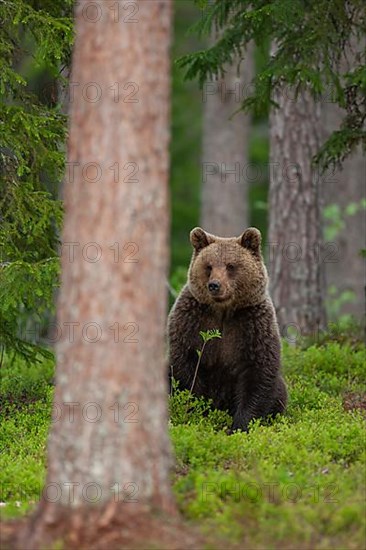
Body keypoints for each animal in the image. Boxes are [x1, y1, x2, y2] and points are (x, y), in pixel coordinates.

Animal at [167, 226, 288, 434]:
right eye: (209, 266)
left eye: (230, 266)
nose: (214, 285)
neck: (223, 311)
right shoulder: (190, 320)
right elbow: (185, 366)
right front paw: (199, 412)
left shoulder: (253, 325)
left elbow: (258, 372)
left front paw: (240, 425)